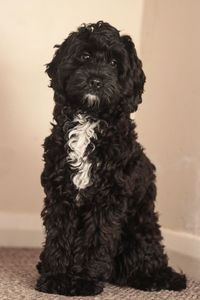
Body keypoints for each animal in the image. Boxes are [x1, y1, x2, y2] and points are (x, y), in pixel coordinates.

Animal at [35, 20, 187, 296]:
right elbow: (59, 236)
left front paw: (83, 280)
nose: (95, 80)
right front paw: (57, 277)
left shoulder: (108, 199)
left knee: (145, 261)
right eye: (85, 56)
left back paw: (152, 278)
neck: (89, 120)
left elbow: (96, 241)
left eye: (115, 63)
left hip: (139, 230)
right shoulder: (60, 193)